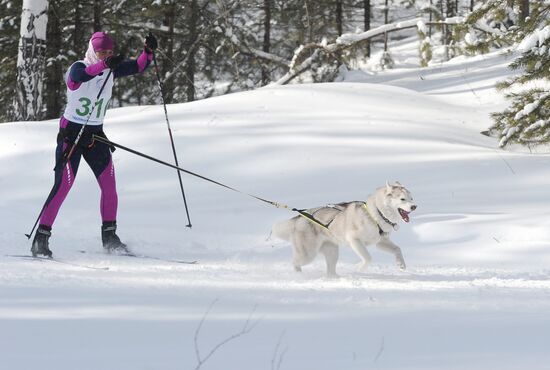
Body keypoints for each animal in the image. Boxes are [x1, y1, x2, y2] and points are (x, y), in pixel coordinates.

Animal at [272, 182, 418, 278]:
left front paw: (401, 264)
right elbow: (368, 258)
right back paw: (298, 275)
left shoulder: (380, 242)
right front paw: (358, 268)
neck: (376, 214)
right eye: (402, 199)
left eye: (411, 198)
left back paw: (336, 278)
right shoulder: (355, 240)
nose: (414, 206)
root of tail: (299, 218)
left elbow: (397, 249)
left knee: (330, 271)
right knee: (295, 262)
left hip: (332, 252)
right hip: (308, 254)